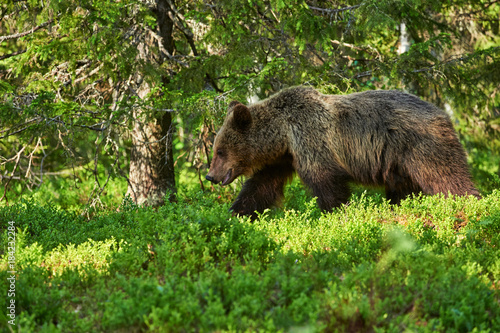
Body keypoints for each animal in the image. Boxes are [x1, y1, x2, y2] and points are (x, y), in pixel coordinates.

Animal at [205, 85, 478, 218]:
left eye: (220, 151)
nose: (210, 176)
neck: (284, 134)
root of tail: (443, 114)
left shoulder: (312, 140)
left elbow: (327, 184)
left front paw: (337, 215)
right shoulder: (283, 159)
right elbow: (261, 187)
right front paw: (235, 213)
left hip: (421, 147)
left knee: (448, 178)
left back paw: (471, 205)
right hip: (399, 165)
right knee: (404, 191)